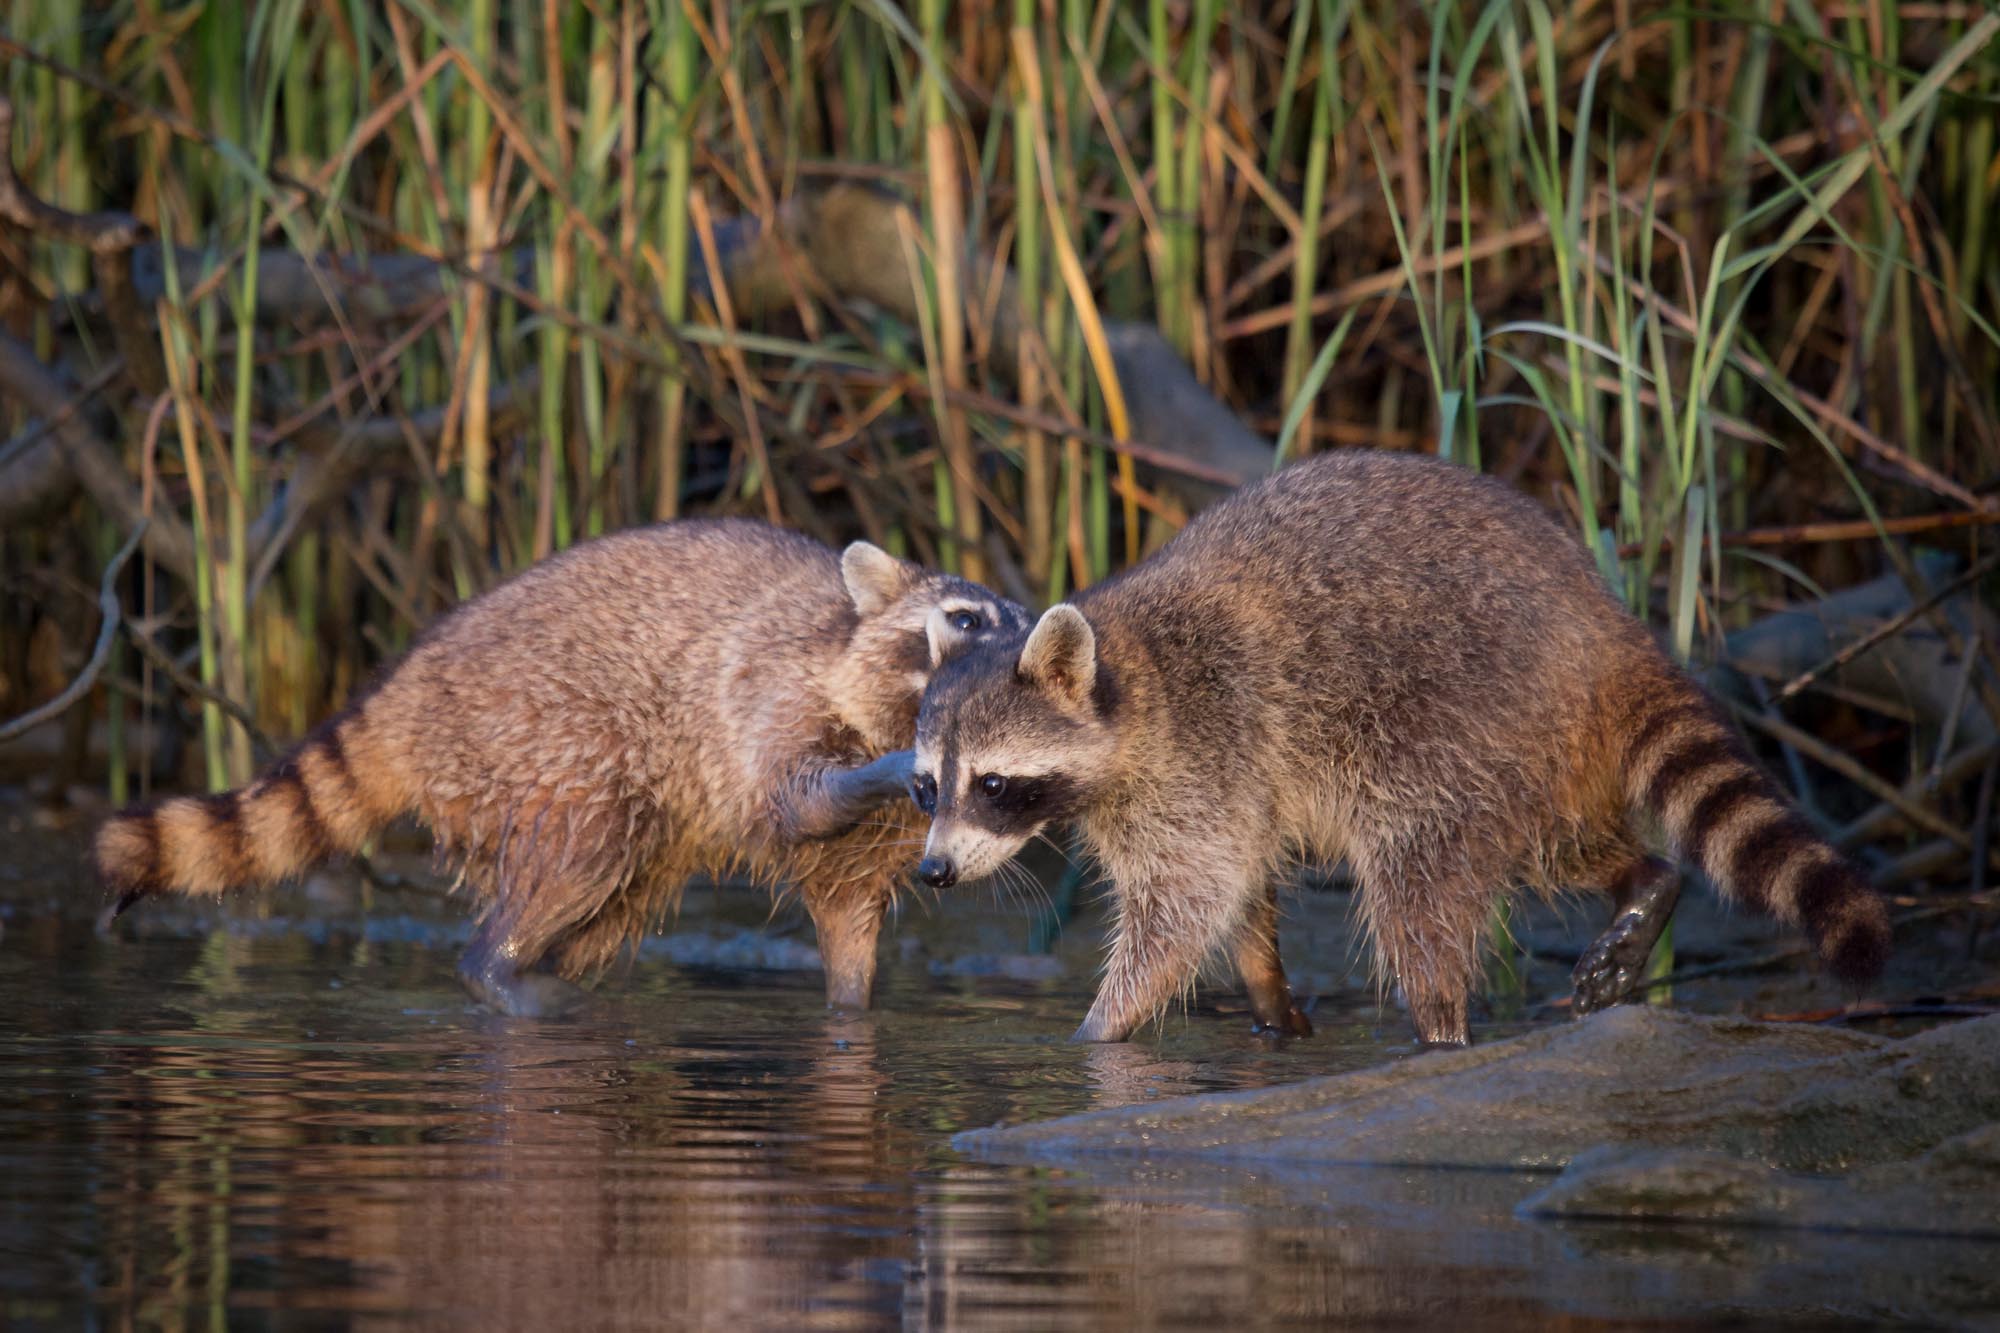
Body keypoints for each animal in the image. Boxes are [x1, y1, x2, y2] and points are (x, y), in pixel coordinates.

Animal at [96, 520, 1029, 1016]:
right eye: (963, 617)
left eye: (1023, 619)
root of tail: (413, 675)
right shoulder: (769, 690)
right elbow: (796, 795)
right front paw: (886, 765)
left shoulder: (867, 856)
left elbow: (847, 927)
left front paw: (850, 1014)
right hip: (543, 735)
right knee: (580, 856)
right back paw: (499, 971)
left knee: (600, 910)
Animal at [911, 450, 1892, 1045]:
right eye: (926, 788)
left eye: (993, 783)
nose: (934, 873)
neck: (1132, 672)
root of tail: (1606, 630)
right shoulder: (1219, 778)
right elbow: (1244, 886)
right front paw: (1270, 997)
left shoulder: (1205, 746)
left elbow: (1186, 901)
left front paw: (1100, 1028)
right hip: (1539, 751)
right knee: (1558, 842)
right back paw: (1641, 881)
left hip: (1451, 723)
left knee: (1417, 879)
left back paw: (1440, 1029)